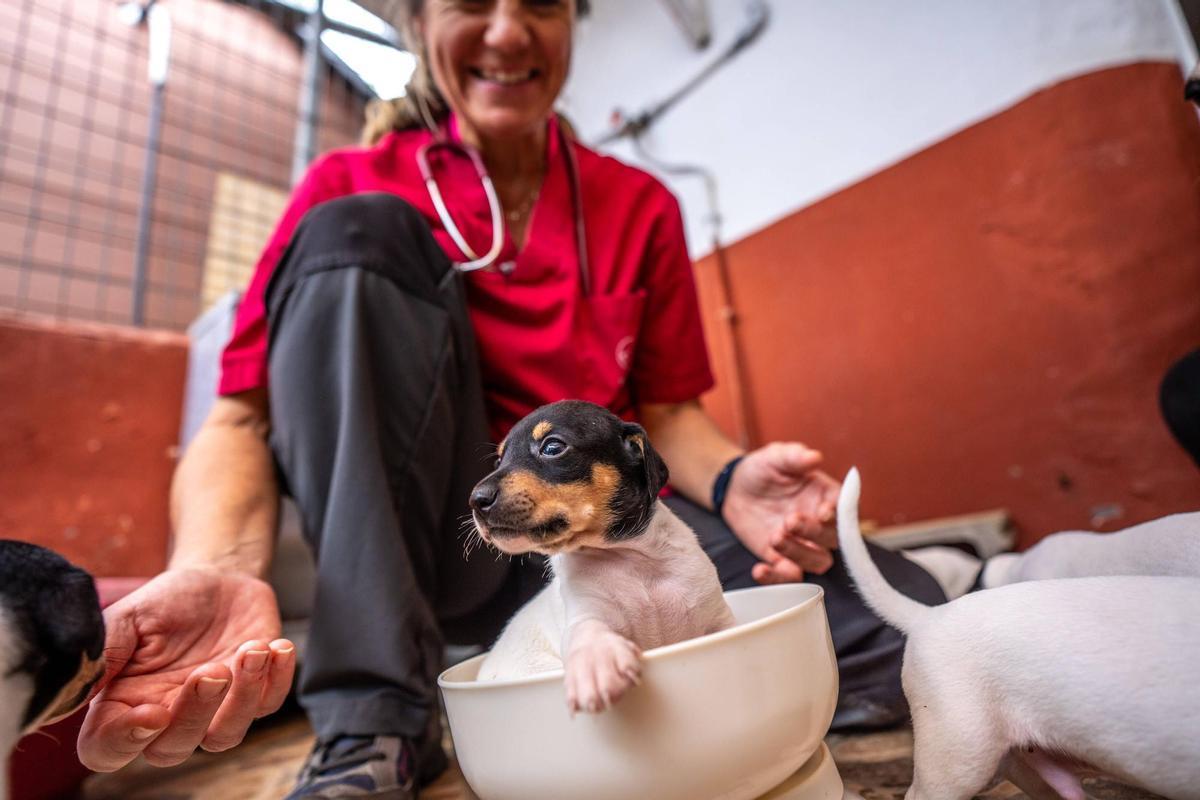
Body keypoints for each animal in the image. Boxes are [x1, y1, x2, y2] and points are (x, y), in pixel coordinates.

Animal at [465, 402, 729, 714]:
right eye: (498, 461)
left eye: (552, 447)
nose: (476, 500)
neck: (629, 560)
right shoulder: (586, 611)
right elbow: (588, 632)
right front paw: (595, 665)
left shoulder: (718, 617)